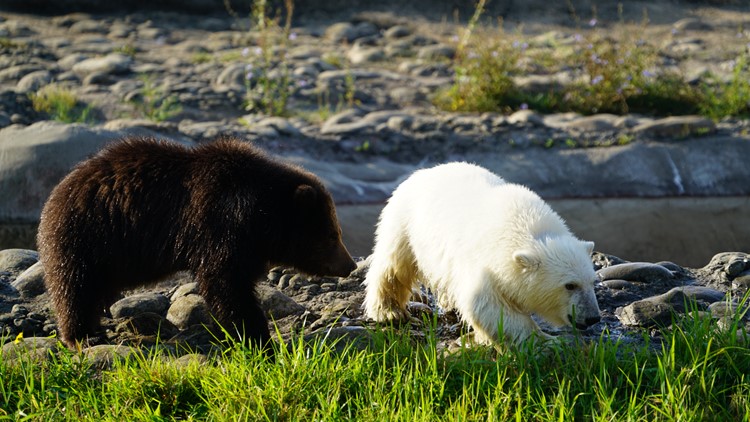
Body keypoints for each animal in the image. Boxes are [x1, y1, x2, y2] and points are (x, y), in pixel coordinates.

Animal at [36, 135, 360, 350]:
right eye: (332, 234)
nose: (350, 265)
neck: (259, 216)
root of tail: (56, 194)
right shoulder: (218, 224)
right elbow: (226, 284)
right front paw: (255, 335)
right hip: (87, 233)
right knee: (75, 285)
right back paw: (81, 335)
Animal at [362, 162, 604, 346]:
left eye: (592, 281)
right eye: (569, 285)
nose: (592, 317)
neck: (527, 227)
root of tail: (423, 172)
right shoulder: (484, 263)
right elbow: (488, 306)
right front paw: (544, 340)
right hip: (405, 223)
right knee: (393, 265)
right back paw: (388, 311)